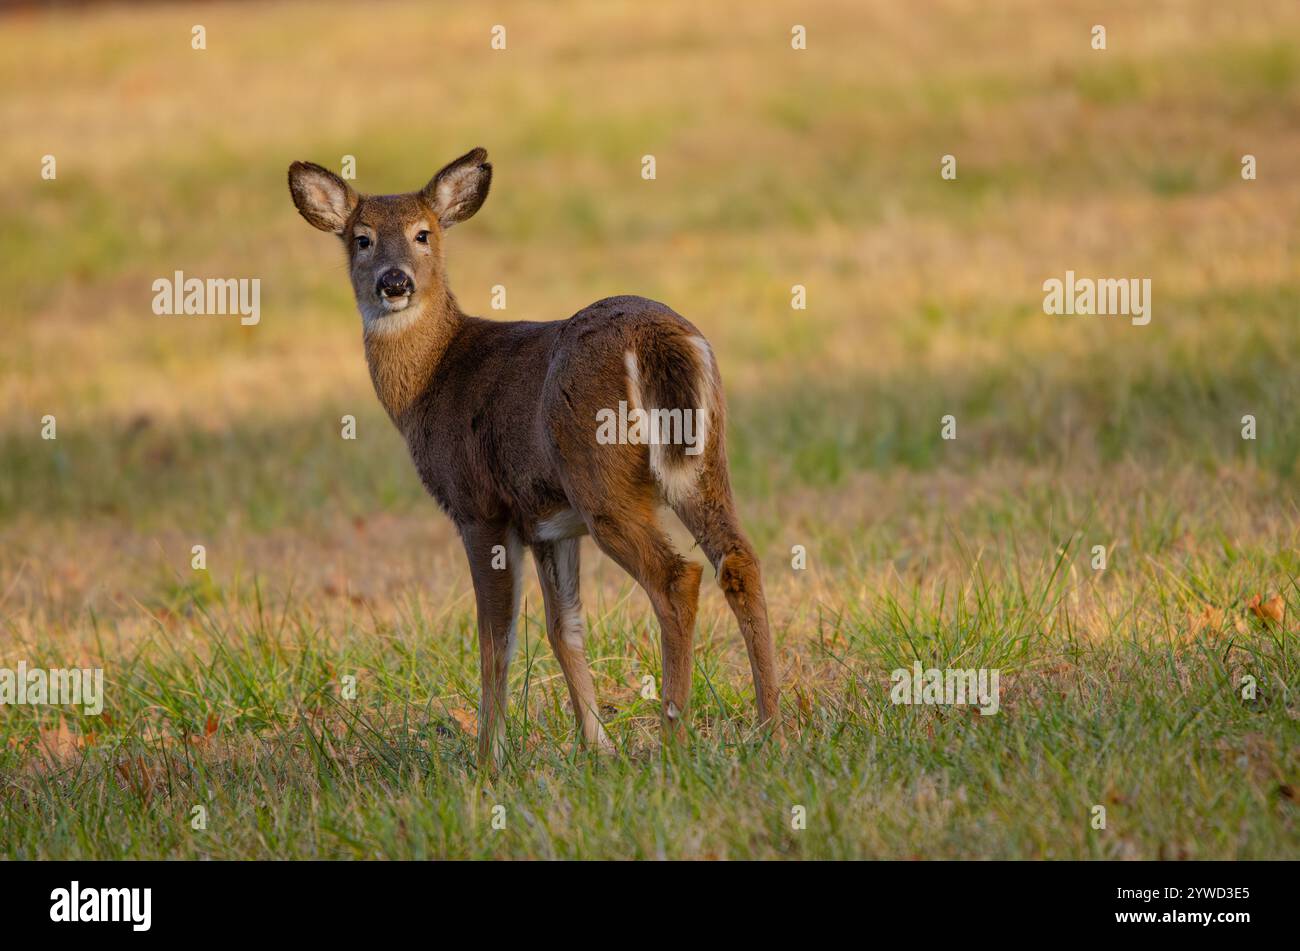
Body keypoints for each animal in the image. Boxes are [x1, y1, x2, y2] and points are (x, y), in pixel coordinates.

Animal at [292, 146, 780, 763]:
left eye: (423, 233)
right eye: (362, 238)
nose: (394, 281)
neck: (431, 379)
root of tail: (656, 338)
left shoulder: (480, 506)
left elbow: (495, 637)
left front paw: (488, 759)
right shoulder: (548, 521)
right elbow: (562, 627)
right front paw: (597, 747)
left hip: (601, 479)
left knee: (676, 576)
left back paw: (674, 736)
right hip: (702, 461)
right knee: (738, 558)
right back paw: (772, 725)